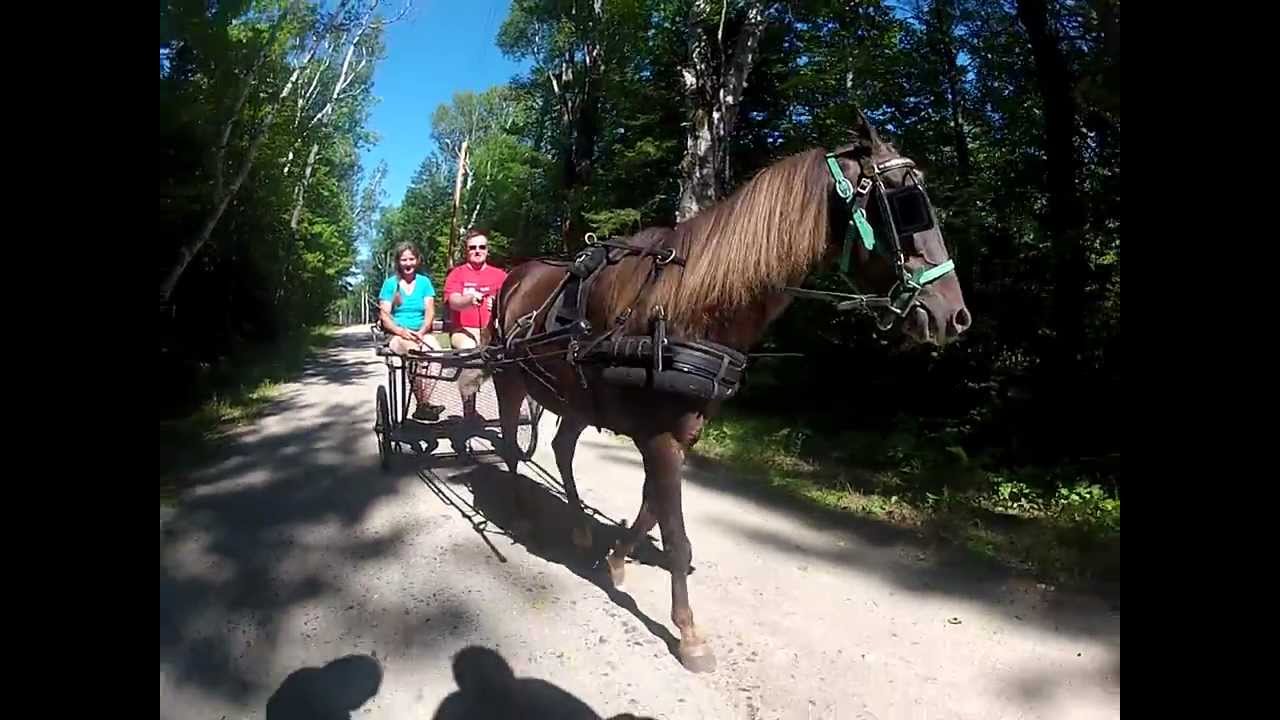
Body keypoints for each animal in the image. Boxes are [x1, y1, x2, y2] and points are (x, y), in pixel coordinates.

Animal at [489, 112, 970, 674]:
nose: (956, 314)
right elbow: (675, 536)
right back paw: (520, 509)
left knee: (562, 448)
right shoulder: (659, 437)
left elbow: (652, 511)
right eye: (906, 204)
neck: (689, 303)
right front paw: (689, 633)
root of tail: (515, 274)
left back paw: (582, 527)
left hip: (577, 398)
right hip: (508, 379)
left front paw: (616, 560)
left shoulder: (680, 434)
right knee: (509, 444)